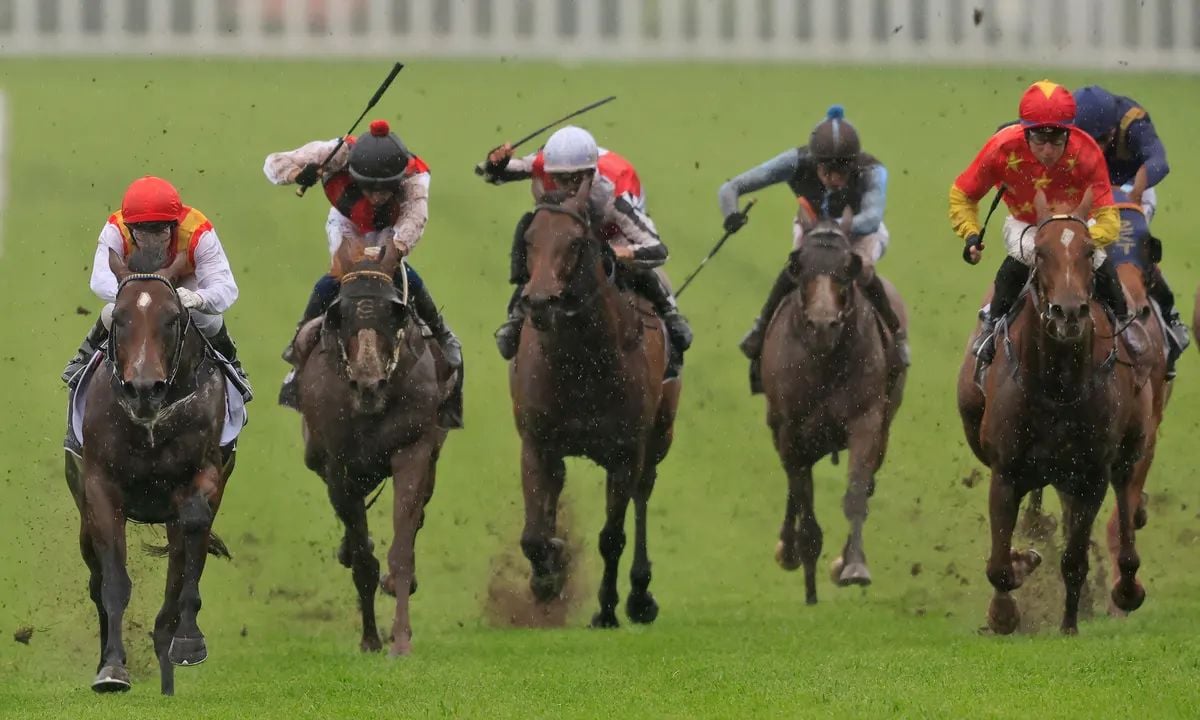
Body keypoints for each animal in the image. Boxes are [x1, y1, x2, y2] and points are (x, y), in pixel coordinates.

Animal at [62, 246, 234, 691]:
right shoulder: (100, 487)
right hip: (83, 513)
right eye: (120, 317)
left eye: (172, 317)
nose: (143, 389)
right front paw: (112, 667)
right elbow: (113, 582)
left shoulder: (205, 474)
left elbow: (191, 539)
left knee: (182, 560)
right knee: (96, 578)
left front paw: (188, 641)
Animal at [292, 238, 456, 657]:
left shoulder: (412, 449)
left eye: (394, 312)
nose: (369, 383)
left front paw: (401, 639)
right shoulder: (338, 465)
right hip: (317, 456)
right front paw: (370, 638)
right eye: (340, 313)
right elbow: (365, 559)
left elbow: (402, 548)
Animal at [508, 177, 686, 628]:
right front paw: (548, 575)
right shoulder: (536, 443)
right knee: (555, 488)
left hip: (659, 437)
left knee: (642, 495)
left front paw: (606, 610)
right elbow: (533, 535)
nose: (539, 301)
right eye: (529, 240)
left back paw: (639, 595)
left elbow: (612, 537)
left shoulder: (625, 453)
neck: (581, 362)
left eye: (574, 242)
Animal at [763, 206, 902, 602]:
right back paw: (789, 548)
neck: (823, 361)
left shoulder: (867, 421)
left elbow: (856, 492)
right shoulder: (789, 430)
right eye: (799, 266)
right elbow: (802, 496)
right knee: (794, 485)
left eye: (847, 269)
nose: (823, 325)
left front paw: (852, 565)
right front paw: (803, 558)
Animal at [955, 190, 1152, 633]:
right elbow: (999, 563)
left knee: (1127, 508)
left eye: (1088, 251)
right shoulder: (1006, 471)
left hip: (1130, 448)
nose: (1069, 312)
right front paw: (1006, 606)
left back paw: (1127, 588)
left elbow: (1074, 559)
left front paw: (1068, 626)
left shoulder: (1090, 476)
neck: (1057, 386)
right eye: (1040, 253)